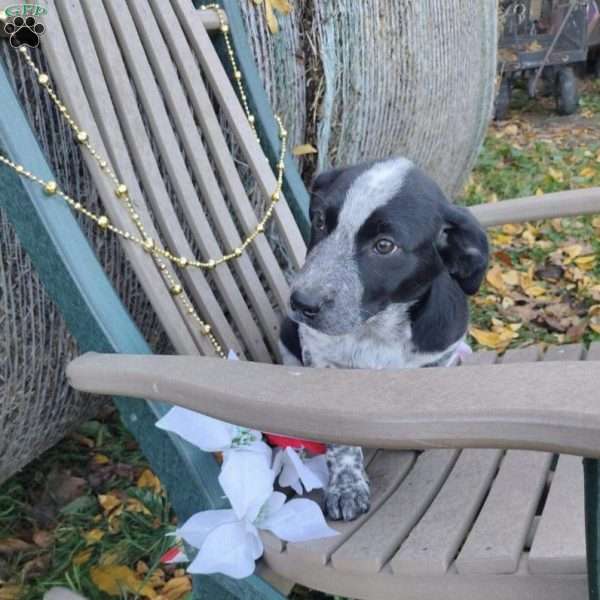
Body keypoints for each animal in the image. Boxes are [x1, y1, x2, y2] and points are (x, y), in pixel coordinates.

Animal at [278, 156, 490, 520]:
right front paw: (347, 485)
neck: (376, 329)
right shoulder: (320, 360)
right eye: (319, 220)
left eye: (384, 246)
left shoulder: (440, 354)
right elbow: (340, 438)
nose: (302, 302)